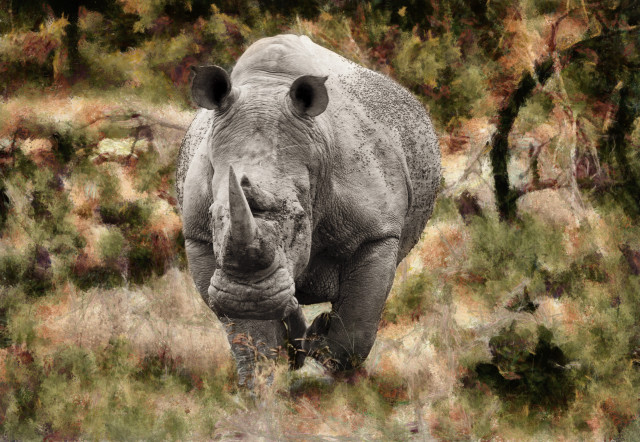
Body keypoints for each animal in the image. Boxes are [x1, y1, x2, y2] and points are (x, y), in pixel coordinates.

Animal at [176, 34, 440, 385]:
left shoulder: (377, 233)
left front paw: (326, 354)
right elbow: (250, 337)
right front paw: (260, 384)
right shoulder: (199, 238)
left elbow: (357, 326)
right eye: (212, 217)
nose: (248, 298)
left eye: (300, 219)